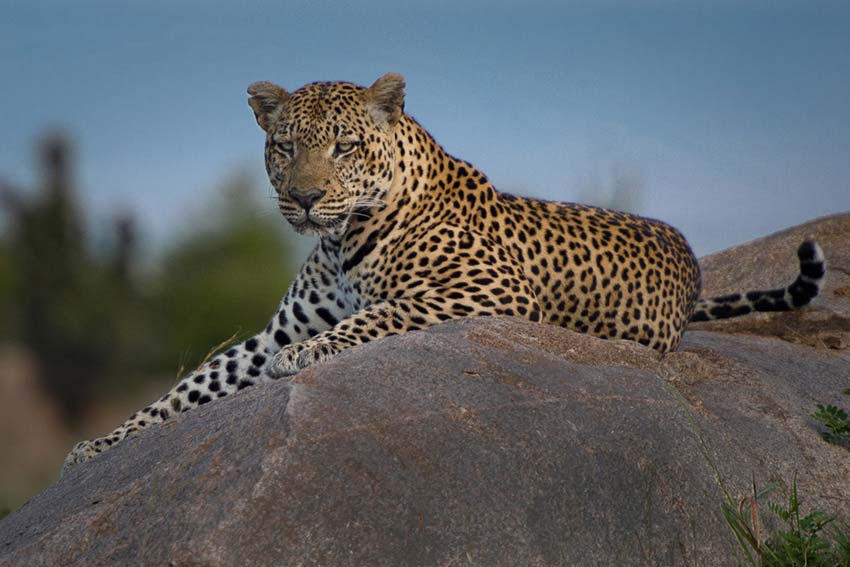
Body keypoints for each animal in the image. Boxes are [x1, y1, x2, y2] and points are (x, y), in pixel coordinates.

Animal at [63, 73, 826, 472]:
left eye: (343, 146)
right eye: (283, 147)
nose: (303, 198)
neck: (342, 239)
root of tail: (692, 263)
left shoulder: (487, 289)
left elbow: (382, 313)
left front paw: (310, 355)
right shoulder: (269, 331)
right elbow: (193, 384)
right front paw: (102, 445)